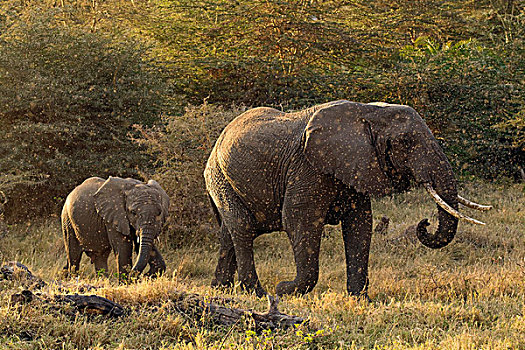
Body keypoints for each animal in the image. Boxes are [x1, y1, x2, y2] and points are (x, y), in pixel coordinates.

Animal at [203, 100, 490, 298]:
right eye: (406, 142)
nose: (425, 223)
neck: (367, 113)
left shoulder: (356, 164)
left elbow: (360, 223)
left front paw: (361, 300)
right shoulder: (308, 167)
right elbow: (298, 219)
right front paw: (285, 290)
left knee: (230, 233)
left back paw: (221, 290)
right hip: (219, 177)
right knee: (242, 228)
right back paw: (258, 293)